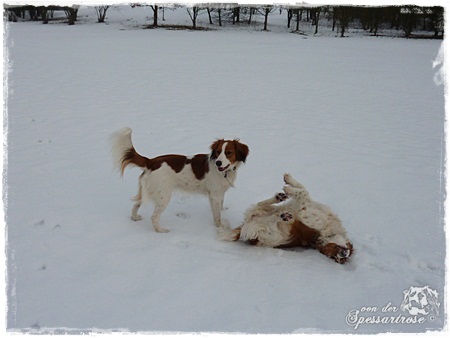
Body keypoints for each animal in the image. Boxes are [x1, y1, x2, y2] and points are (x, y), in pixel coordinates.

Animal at [110, 127, 250, 232]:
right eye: (218, 152)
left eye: (229, 152)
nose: (218, 163)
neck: (224, 172)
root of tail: (151, 162)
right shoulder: (215, 195)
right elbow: (217, 216)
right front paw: (220, 227)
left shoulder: (219, 193)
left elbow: (221, 205)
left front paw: (223, 210)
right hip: (164, 196)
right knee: (154, 217)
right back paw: (160, 230)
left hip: (148, 191)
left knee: (136, 204)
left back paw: (135, 218)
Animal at [220, 174, 354, 264]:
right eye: (334, 250)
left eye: (335, 258)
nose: (343, 254)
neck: (325, 234)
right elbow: (303, 189)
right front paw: (289, 180)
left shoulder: (304, 210)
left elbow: (303, 193)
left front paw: (289, 189)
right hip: (263, 211)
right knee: (261, 205)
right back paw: (278, 199)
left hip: (274, 235)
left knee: (271, 219)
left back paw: (284, 216)